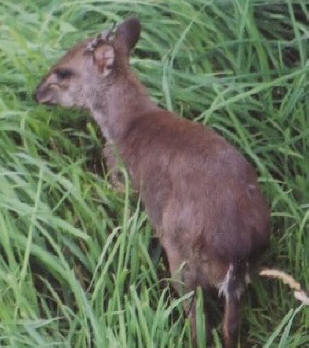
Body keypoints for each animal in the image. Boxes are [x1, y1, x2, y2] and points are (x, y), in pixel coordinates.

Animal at [34, 18, 270, 346]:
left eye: (63, 72)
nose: (36, 93)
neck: (127, 123)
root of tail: (237, 247)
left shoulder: (122, 179)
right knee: (229, 328)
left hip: (182, 255)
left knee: (198, 321)